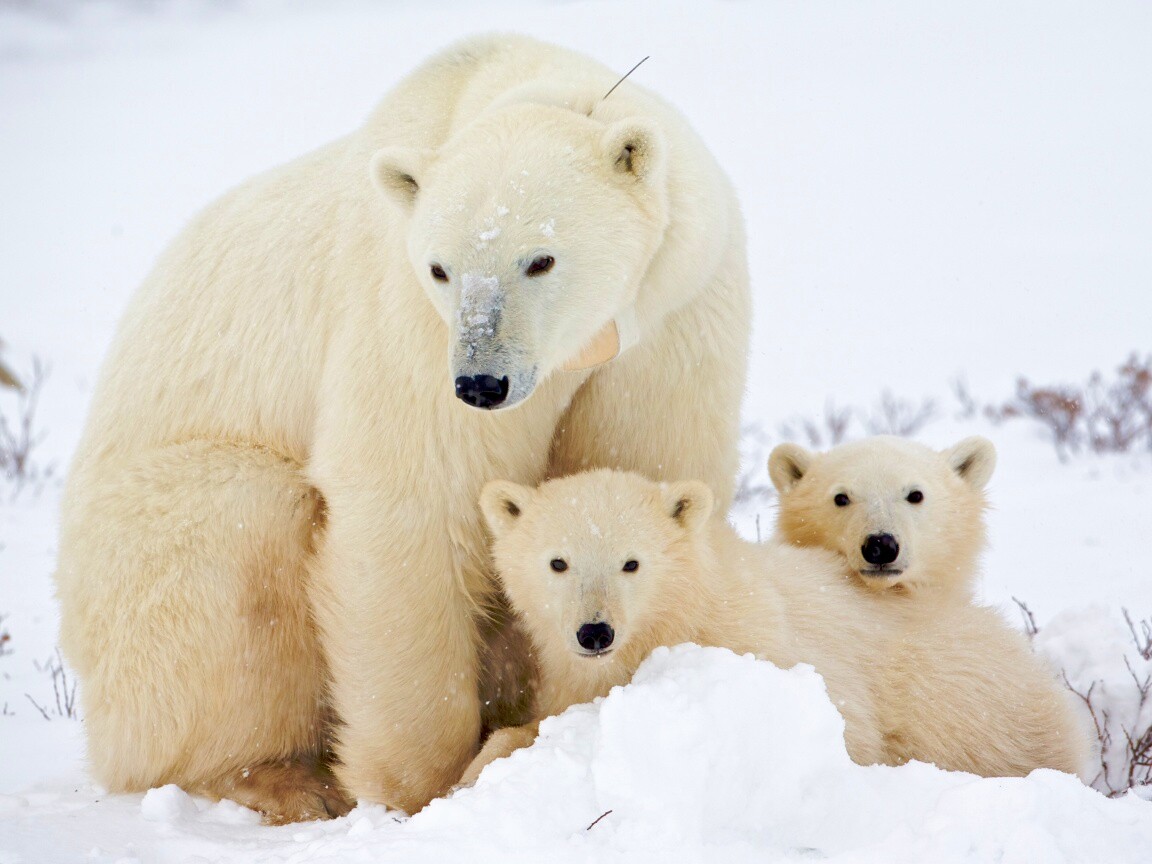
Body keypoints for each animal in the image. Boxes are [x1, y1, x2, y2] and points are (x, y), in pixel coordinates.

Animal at [58, 35, 751, 824]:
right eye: (441, 268)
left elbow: (641, 467)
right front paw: (424, 785)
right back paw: (283, 779)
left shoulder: (672, 317)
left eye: (541, 258)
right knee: (239, 541)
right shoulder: (407, 320)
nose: (482, 383)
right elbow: (413, 499)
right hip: (140, 559)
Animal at [458, 470, 1087, 787]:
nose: (595, 632)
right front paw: (479, 768)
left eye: (631, 563)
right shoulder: (569, 675)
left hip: (976, 708)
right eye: (557, 562)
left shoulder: (762, 650)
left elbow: (843, 734)